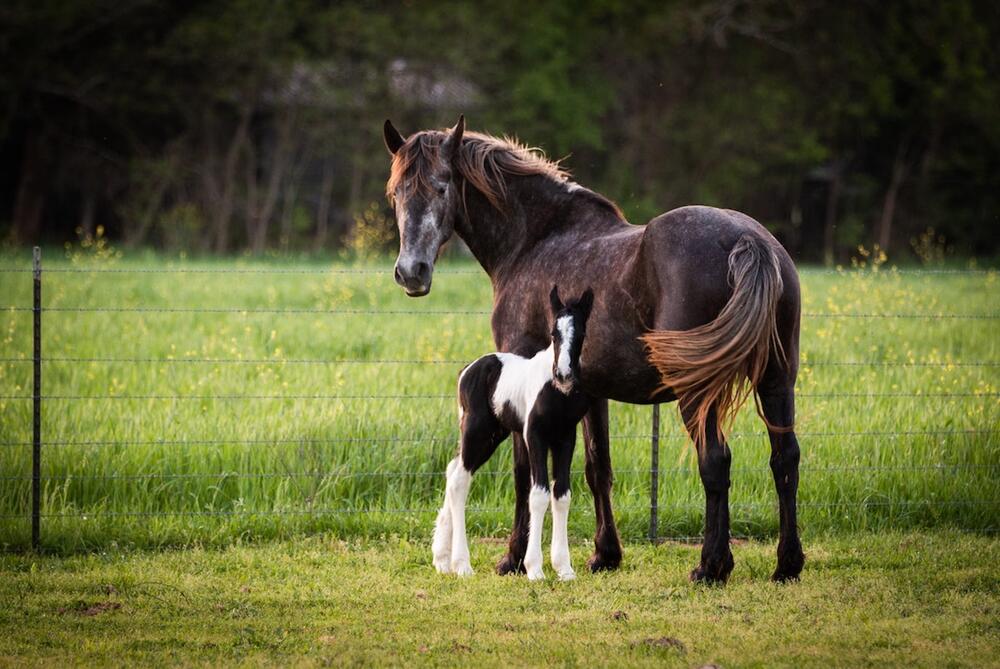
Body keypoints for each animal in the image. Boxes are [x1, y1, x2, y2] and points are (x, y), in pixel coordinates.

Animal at [432, 288, 592, 580]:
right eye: (553, 333)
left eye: (581, 333)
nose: (564, 374)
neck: (556, 392)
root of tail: (466, 370)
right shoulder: (534, 436)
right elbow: (538, 494)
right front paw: (535, 568)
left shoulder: (565, 438)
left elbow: (561, 495)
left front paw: (564, 568)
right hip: (476, 432)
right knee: (460, 479)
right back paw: (462, 564)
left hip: (492, 436)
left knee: (452, 469)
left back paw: (442, 559)